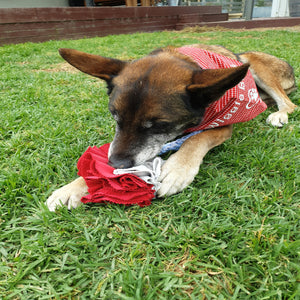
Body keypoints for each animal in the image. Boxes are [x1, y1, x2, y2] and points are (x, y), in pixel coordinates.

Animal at [45, 44, 296, 211]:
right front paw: (74, 186)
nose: (117, 165)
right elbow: (104, 153)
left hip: (258, 68)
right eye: (115, 117)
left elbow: (196, 139)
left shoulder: (223, 125)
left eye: (159, 125)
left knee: (290, 103)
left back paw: (279, 114)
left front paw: (177, 170)